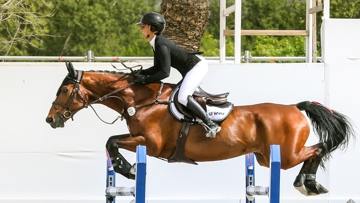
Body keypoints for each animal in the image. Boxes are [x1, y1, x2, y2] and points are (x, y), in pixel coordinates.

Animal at [45, 61, 354, 196]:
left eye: (64, 90)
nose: (50, 120)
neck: (141, 100)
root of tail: (294, 107)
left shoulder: (150, 143)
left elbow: (112, 141)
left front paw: (129, 169)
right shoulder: (142, 141)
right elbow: (111, 141)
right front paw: (127, 169)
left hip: (283, 155)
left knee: (317, 149)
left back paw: (308, 183)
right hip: (265, 157)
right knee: (315, 150)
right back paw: (308, 183)